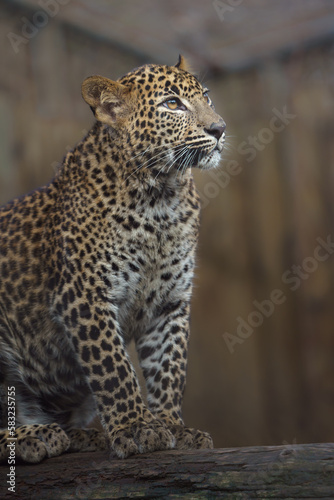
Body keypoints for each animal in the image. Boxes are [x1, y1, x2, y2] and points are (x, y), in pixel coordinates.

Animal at [0, 53, 226, 460]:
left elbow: (169, 367)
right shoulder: (84, 296)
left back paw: (80, 437)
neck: (160, 197)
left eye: (206, 97)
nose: (219, 128)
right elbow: (114, 369)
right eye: (173, 104)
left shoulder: (170, 301)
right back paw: (33, 437)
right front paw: (137, 428)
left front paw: (172, 427)